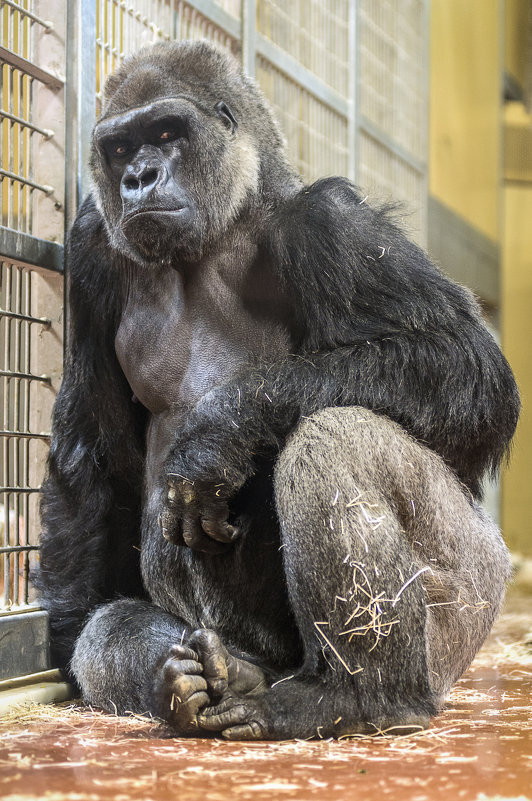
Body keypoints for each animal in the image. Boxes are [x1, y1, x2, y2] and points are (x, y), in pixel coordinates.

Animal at [36, 40, 520, 740]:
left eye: (166, 133)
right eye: (121, 148)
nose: (139, 178)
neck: (225, 222)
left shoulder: (330, 221)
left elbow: (468, 365)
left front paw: (222, 433)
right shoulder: (93, 248)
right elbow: (91, 452)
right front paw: (72, 627)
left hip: (471, 606)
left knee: (336, 432)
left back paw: (358, 696)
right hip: (237, 646)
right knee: (124, 635)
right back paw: (192, 680)